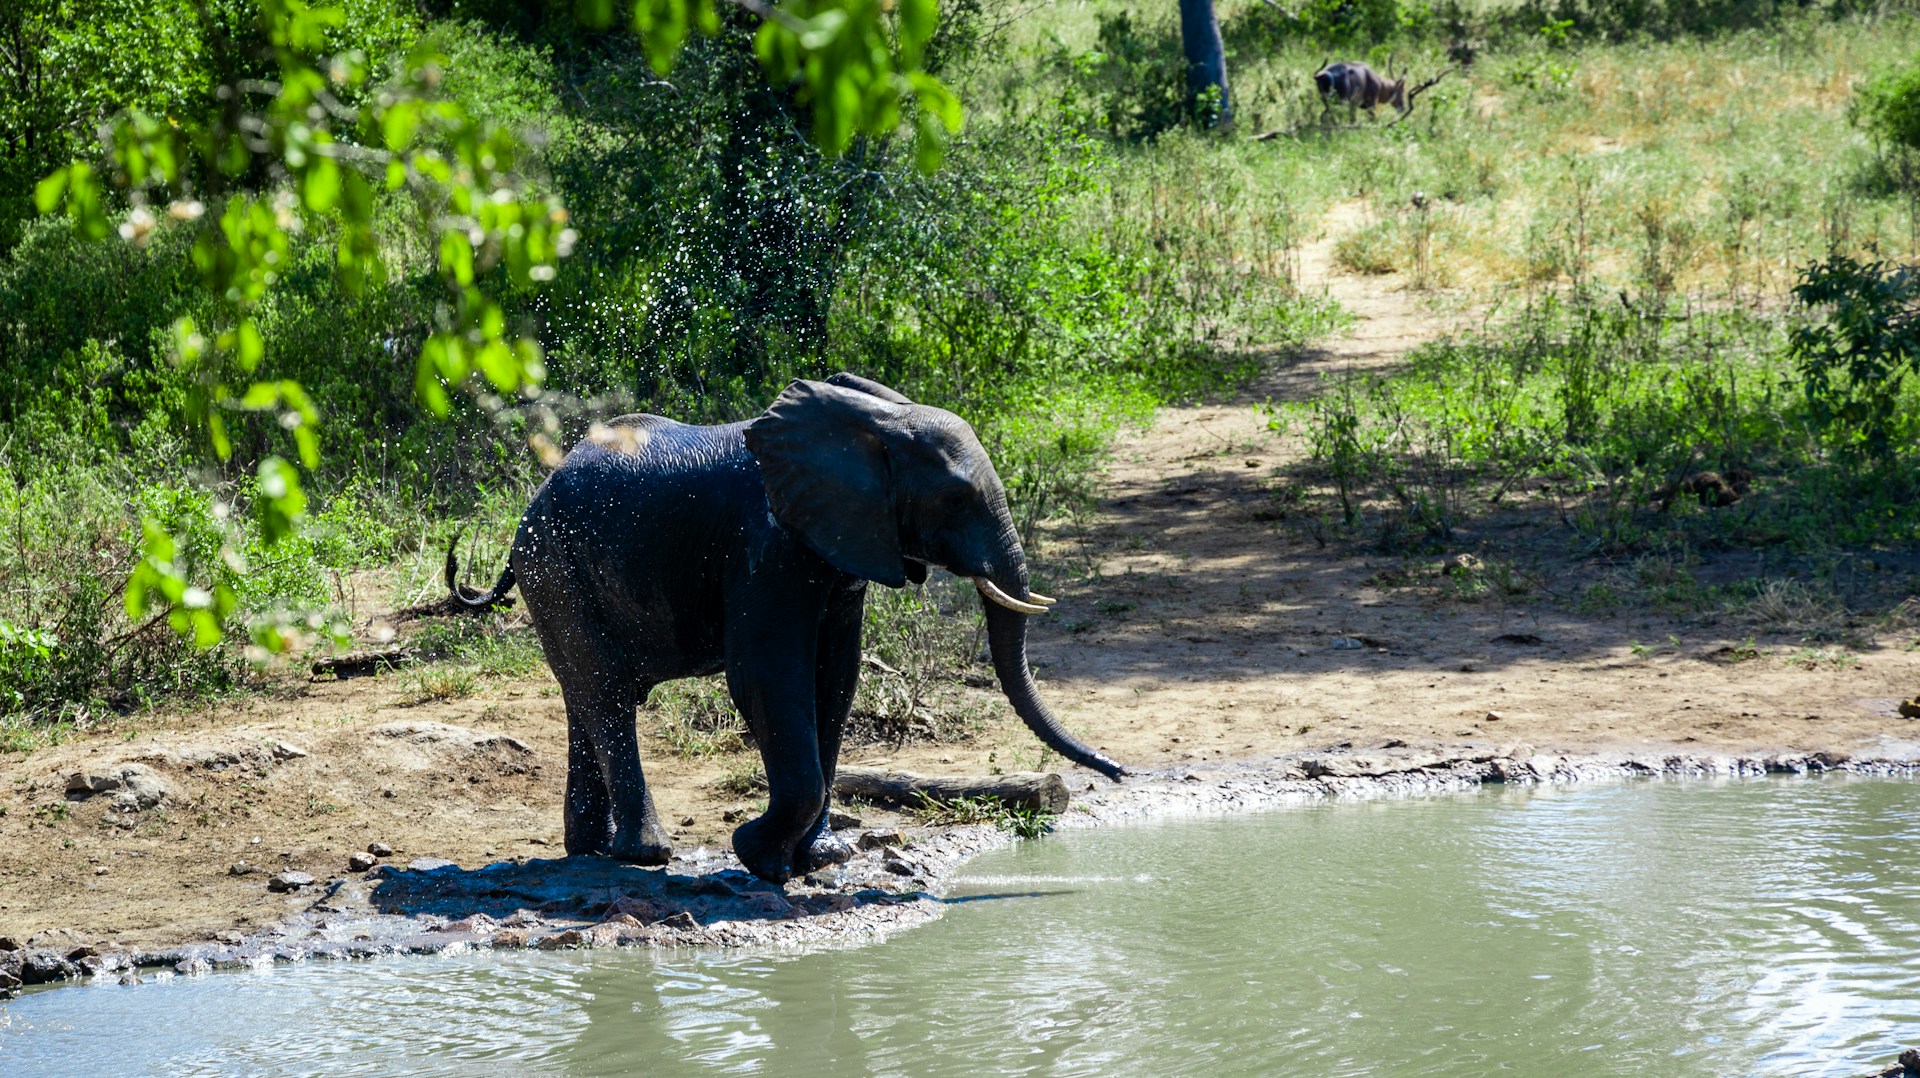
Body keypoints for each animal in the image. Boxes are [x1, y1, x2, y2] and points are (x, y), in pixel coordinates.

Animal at [446, 372, 1125, 884]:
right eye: (956, 499)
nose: (1119, 771)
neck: (874, 424)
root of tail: (535, 498)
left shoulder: (841, 546)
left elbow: (836, 677)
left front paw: (820, 859)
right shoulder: (767, 542)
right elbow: (768, 676)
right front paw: (759, 857)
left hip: (559, 570)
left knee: (586, 696)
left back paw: (589, 849)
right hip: (556, 567)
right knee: (606, 693)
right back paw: (647, 854)